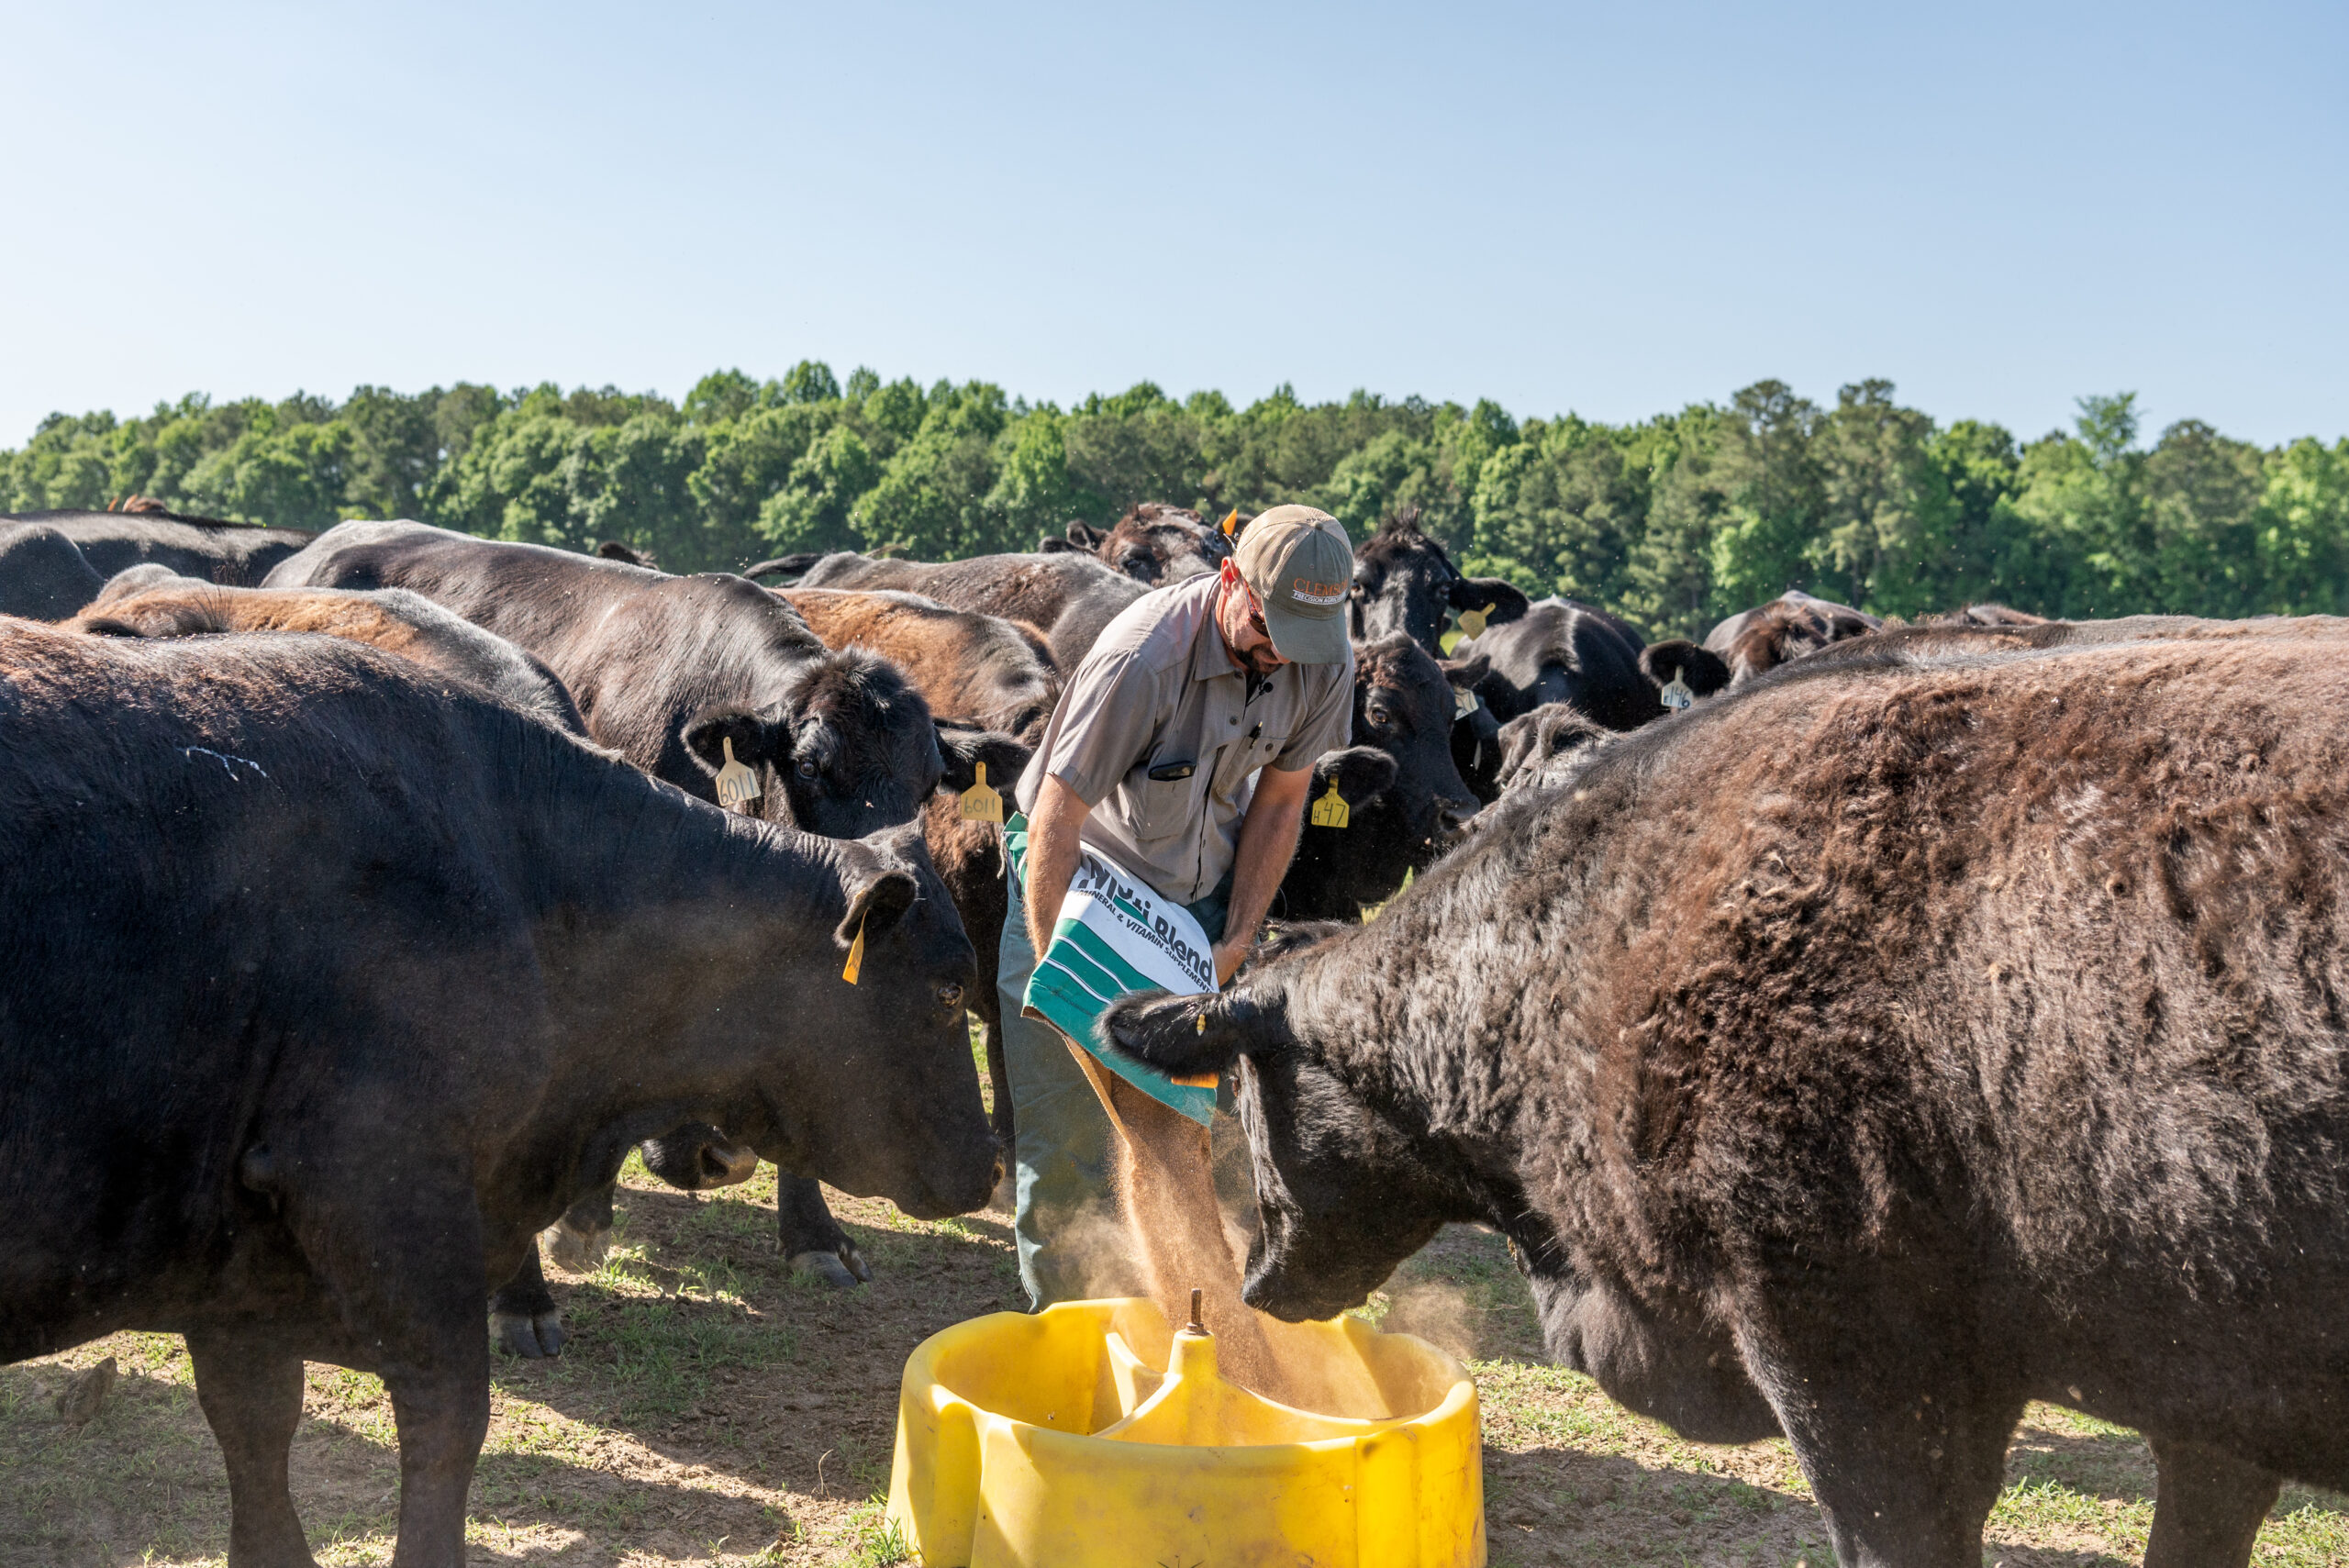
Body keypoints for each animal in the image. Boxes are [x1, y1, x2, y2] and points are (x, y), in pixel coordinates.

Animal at [0, 619, 996, 1558]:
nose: (988, 1169)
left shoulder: (239, 1256)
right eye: (950, 989)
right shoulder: (386, 1192)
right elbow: (445, 1428)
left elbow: (256, 1430)